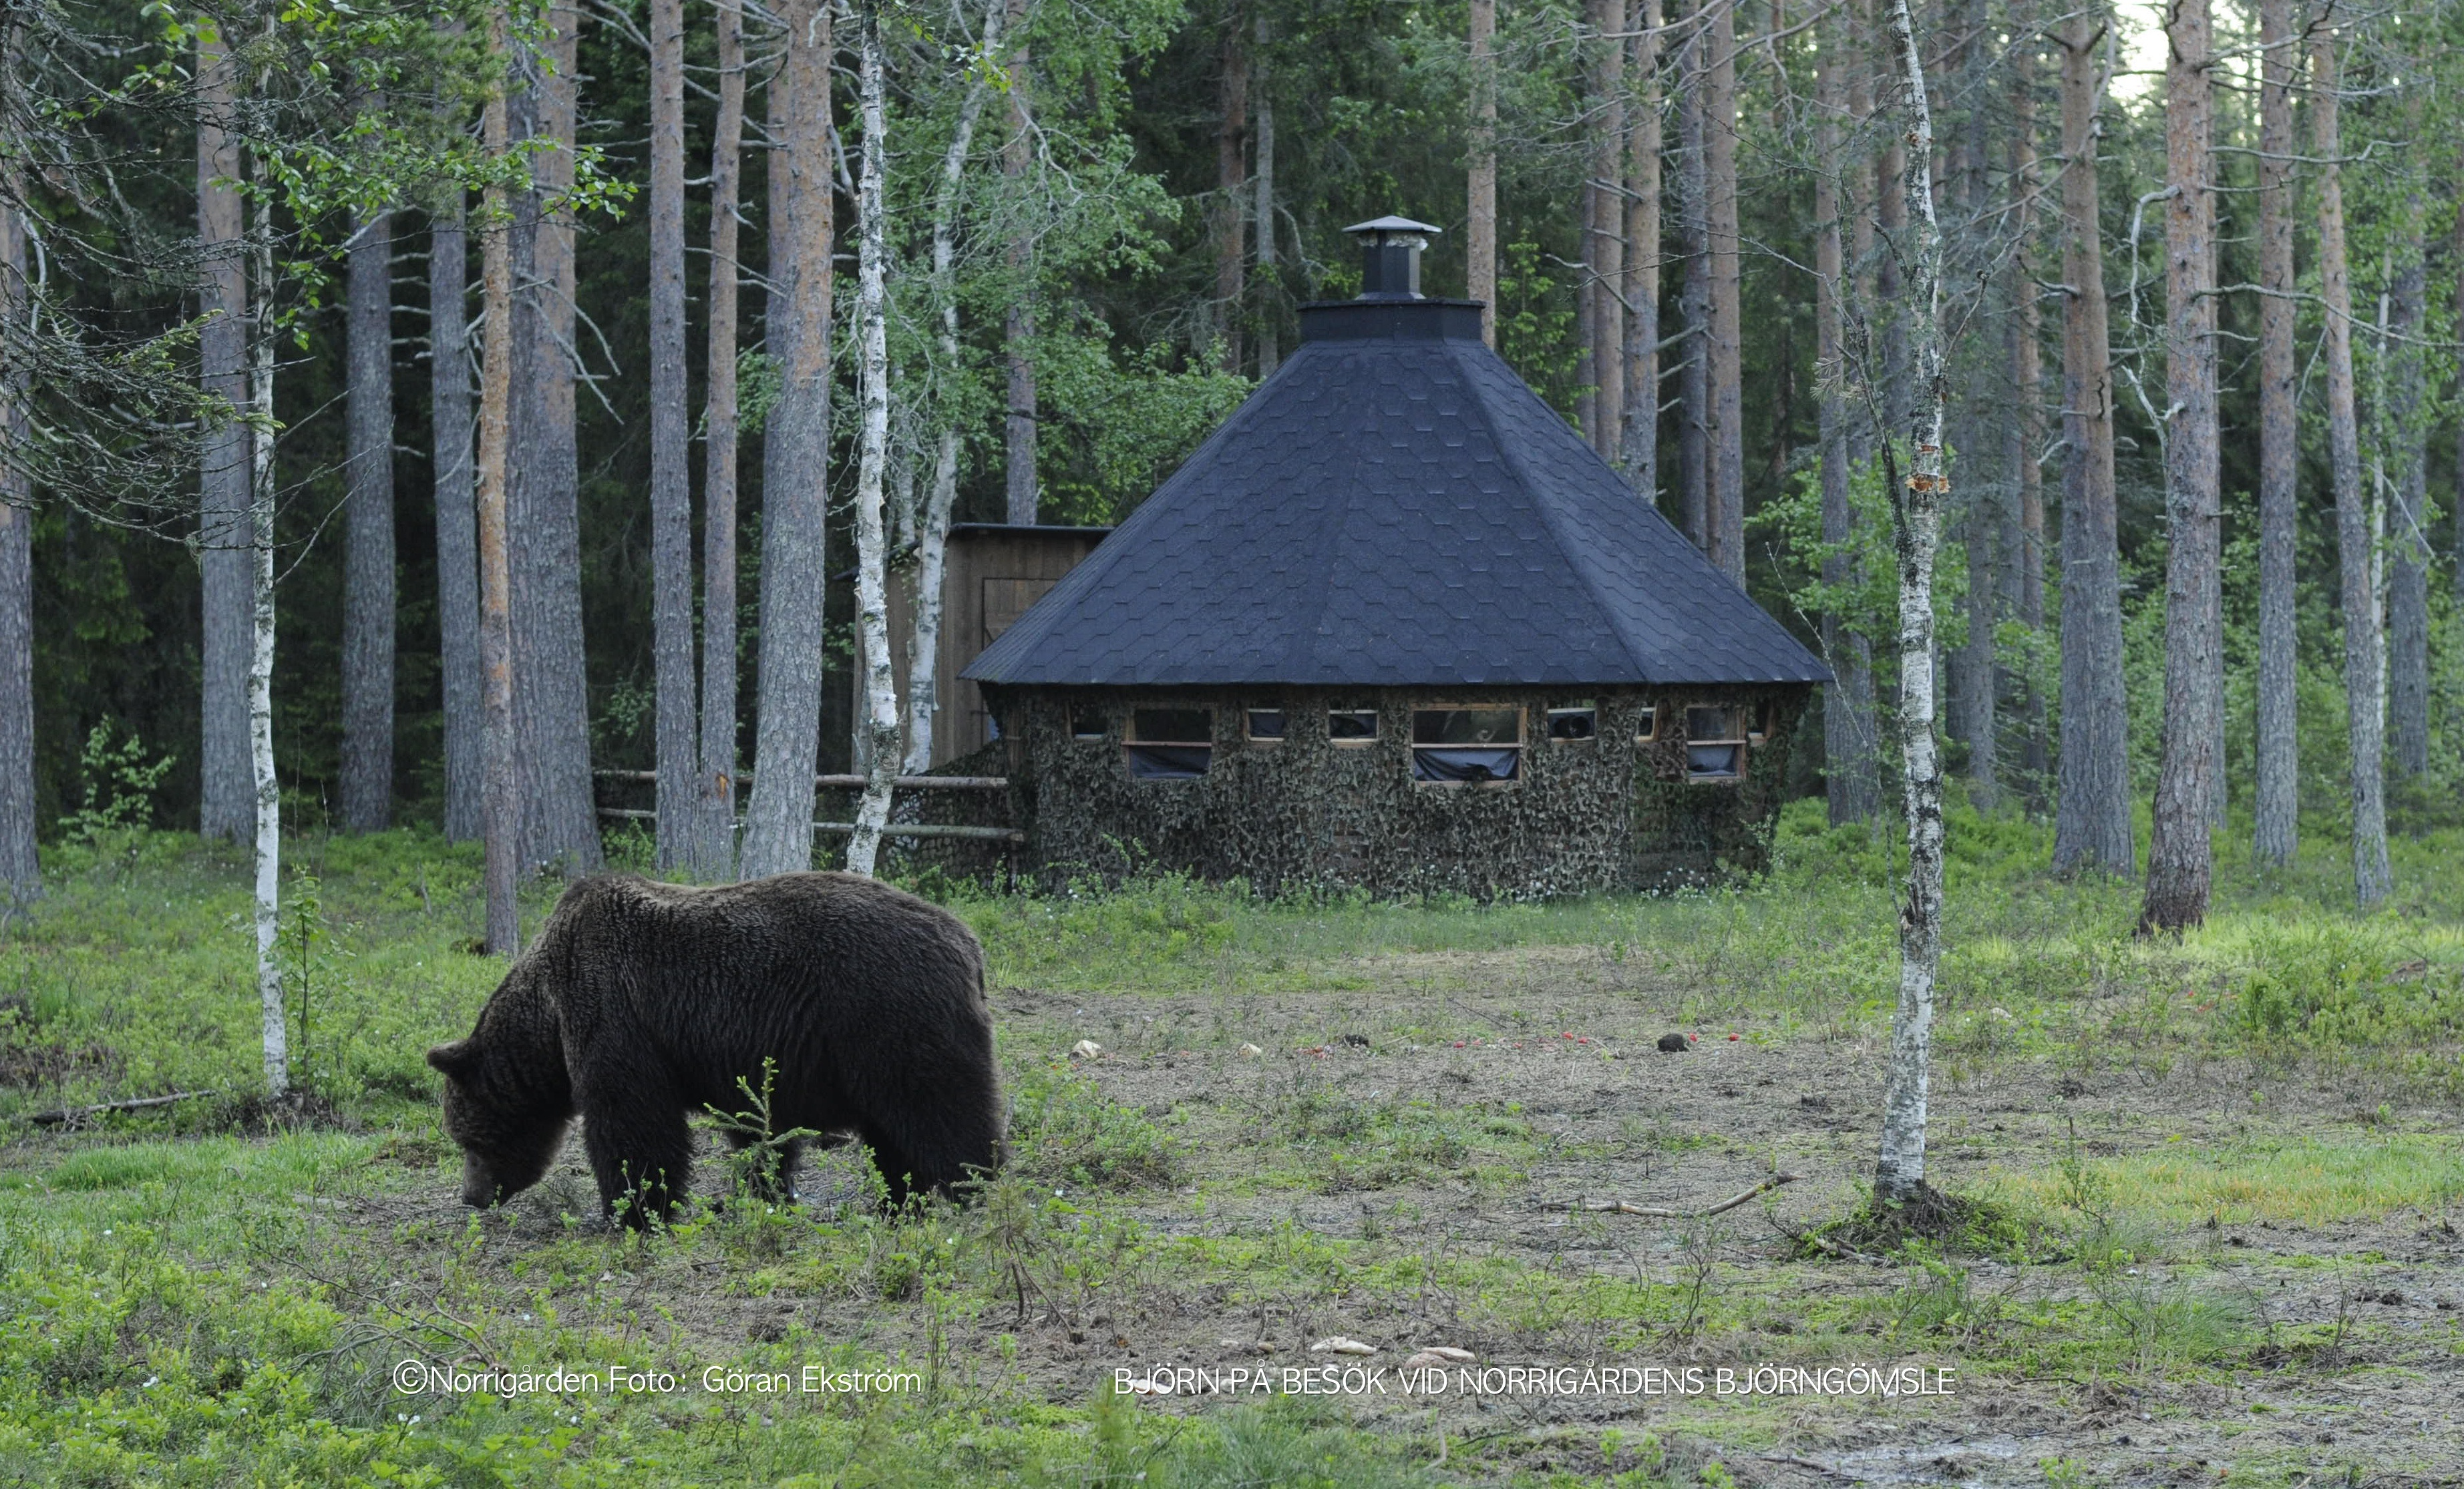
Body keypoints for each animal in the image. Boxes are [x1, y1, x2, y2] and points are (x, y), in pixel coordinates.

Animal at [428, 867, 1005, 1227]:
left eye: (467, 1139)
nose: (470, 1196)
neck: (548, 1017)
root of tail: (968, 942)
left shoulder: (614, 1011)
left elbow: (631, 1123)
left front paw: (632, 1211)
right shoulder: (745, 1058)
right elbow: (756, 1131)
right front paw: (767, 1192)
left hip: (893, 1019)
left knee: (943, 1112)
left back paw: (976, 1192)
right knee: (892, 1134)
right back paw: (896, 1203)